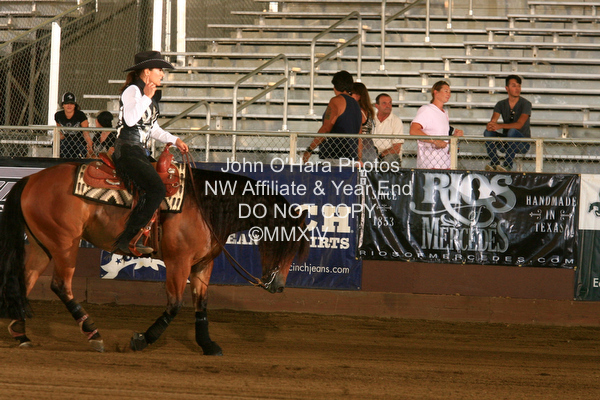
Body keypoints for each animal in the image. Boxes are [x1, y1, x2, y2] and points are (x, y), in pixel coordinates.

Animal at [0, 161, 309, 354]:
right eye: (284, 243)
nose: (278, 286)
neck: (206, 206)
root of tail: (31, 179)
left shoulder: (203, 264)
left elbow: (202, 304)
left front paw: (208, 345)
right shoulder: (178, 263)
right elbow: (175, 305)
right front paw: (141, 339)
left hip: (43, 244)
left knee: (25, 280)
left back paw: (21, 333)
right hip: (65, 244)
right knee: (60, 285)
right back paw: (93, 334)